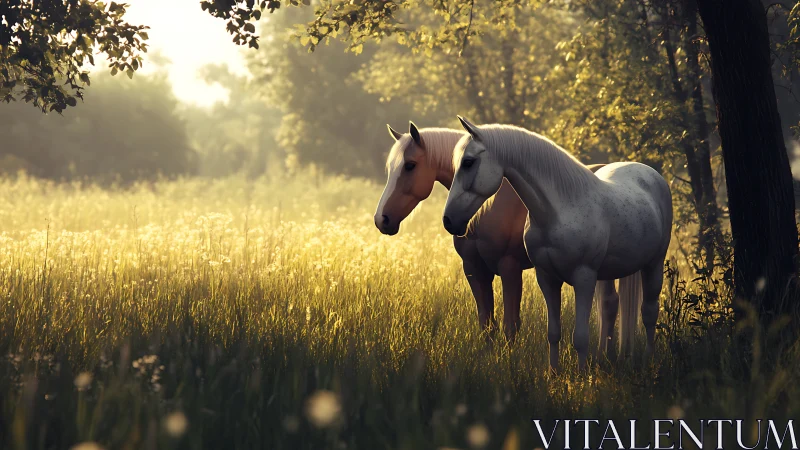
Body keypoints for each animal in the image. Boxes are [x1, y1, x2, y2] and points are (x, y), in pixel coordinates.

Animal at [373, 121, 607, 343]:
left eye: (410, 165)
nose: (381, 219)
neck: (487, 209)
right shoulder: (474, 269)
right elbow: (487, 325)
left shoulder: (510, 267)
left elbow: (510, 326)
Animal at [442, 117, 672, 372]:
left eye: (468, 162)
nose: (449, 220)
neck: (558, 210)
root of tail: (649, 173)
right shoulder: (547, 277)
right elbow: (553, 332)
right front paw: (553, 374)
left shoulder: (584, 278)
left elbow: (580, 337)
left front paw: (582, 377)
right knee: (612, 305)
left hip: (654, 264)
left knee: (649, 312)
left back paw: (649, 362)